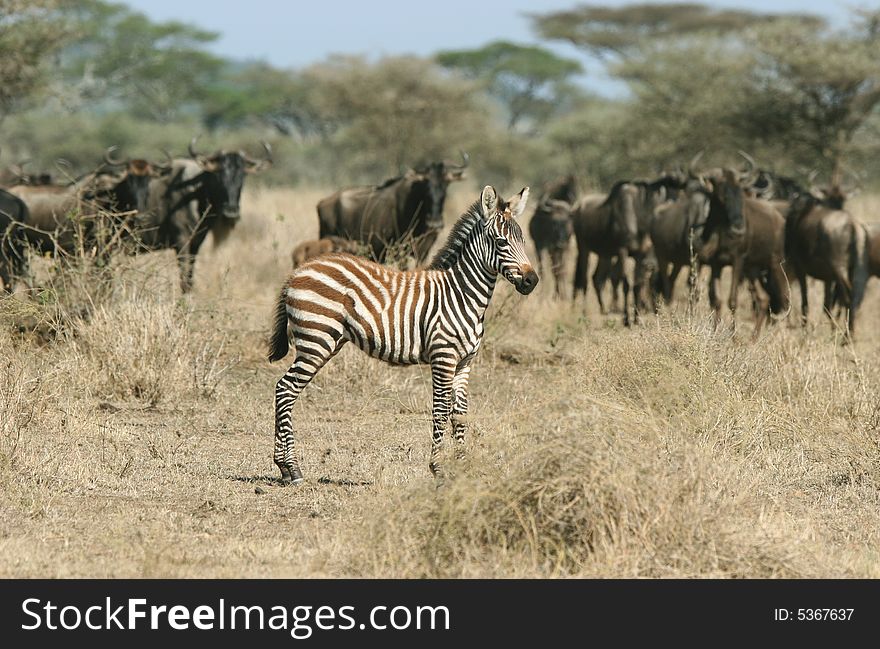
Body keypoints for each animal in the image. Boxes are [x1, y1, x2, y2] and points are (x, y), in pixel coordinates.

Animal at [270, 185, 536, 484]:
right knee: (285, 389)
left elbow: (460, 414)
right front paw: (437, 468)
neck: (462, 294)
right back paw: (291, 468)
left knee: (286, 390)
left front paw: (463, 466)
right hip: (316, 340)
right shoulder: (443, 357)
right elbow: (440, 411)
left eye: (523, 240)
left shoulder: (465, 362)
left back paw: (285, 468)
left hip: (327, 341)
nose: (532, 281)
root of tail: (299, 270)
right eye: (501, 243)